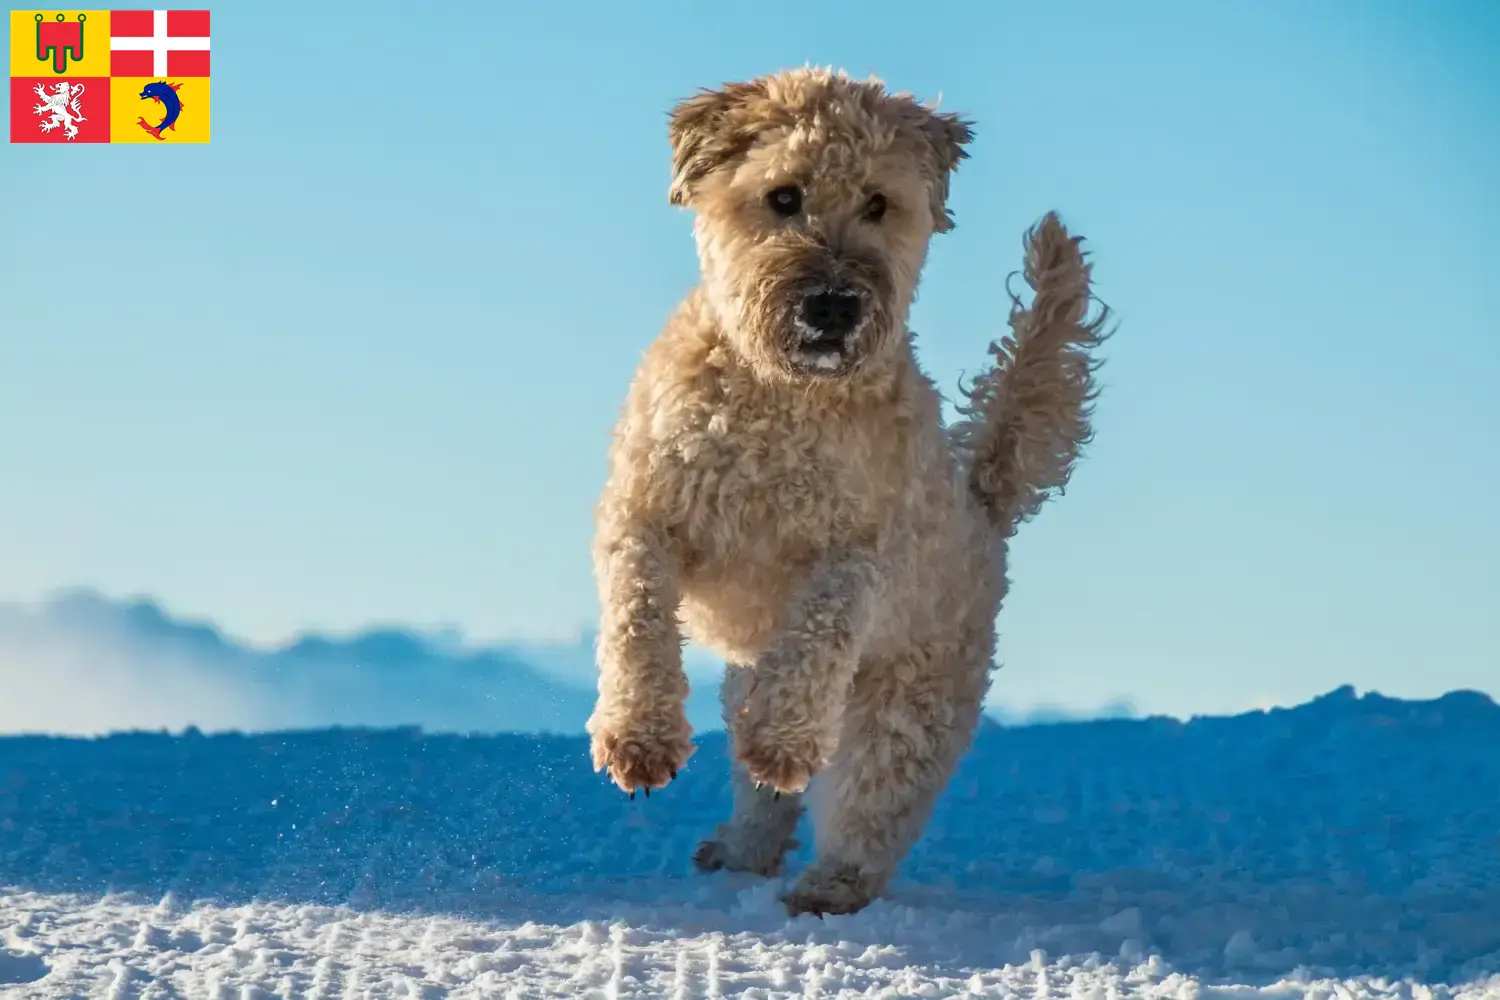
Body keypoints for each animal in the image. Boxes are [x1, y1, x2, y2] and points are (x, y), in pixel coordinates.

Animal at [585, 66, 1116, 917]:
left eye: (878, 202)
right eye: (784, 195)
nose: (832, 306)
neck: (780, 399)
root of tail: (983, 503)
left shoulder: (858, 551)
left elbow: (820, 632)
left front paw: (785, 742)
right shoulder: (643, 514)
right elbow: (637, 621)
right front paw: (640, 740)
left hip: (911, 697)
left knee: (873, 797)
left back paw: (827, 881)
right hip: (757, 675)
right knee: (762, 794)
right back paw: (740, 846)